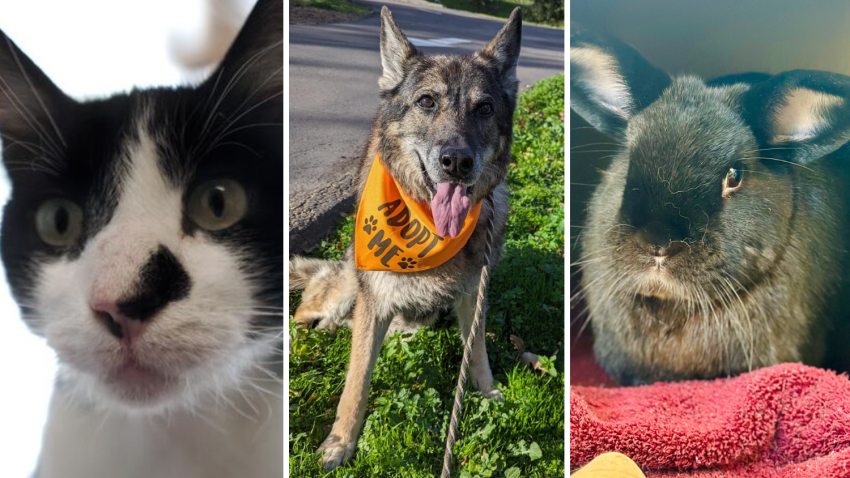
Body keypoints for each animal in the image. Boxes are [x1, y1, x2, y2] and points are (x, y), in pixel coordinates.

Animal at [288, 6, 520, 470]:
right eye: (426, 102)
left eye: (485, 108)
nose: (456, 162)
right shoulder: (373, 302)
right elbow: (356, 382)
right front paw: (341, 442)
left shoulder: (474, 296)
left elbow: (477, 353)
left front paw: (488, 393)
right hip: (348, 286)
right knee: (304, 312)